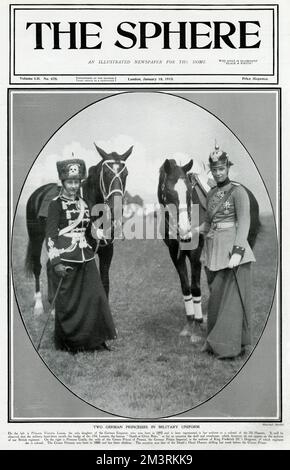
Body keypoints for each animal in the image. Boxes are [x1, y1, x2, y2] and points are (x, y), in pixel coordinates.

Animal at [25, 145, 133, 314]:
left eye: (126, 173)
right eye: (106, 173)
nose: (116, 209)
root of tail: (38, 193)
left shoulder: (107, 251)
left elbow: (105, 281)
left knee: (51, 266)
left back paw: (54, 306)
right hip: (36, 237)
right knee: (38, 266)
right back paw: (39, 305)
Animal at [159, 160, 260, 340]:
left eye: (189, 191)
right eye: (169, 191)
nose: (185, 229)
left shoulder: (195, 253)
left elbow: (195, 287)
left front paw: (198, 325)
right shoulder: (174, 253)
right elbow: (185, 287)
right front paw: (189, 323)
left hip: (246, 242)